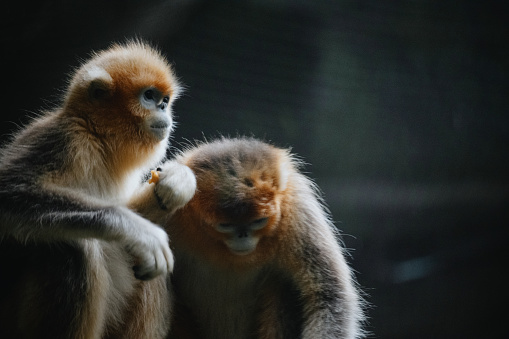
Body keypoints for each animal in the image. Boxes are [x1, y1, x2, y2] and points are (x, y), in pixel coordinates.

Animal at [0, 41, 196, 338]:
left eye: (164, 101)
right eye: (149, 97)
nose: (164, 110)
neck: (98, 139)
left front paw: (178, 181)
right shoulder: (64, 140)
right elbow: (8, 191)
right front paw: (138, 230)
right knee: (74, 248)